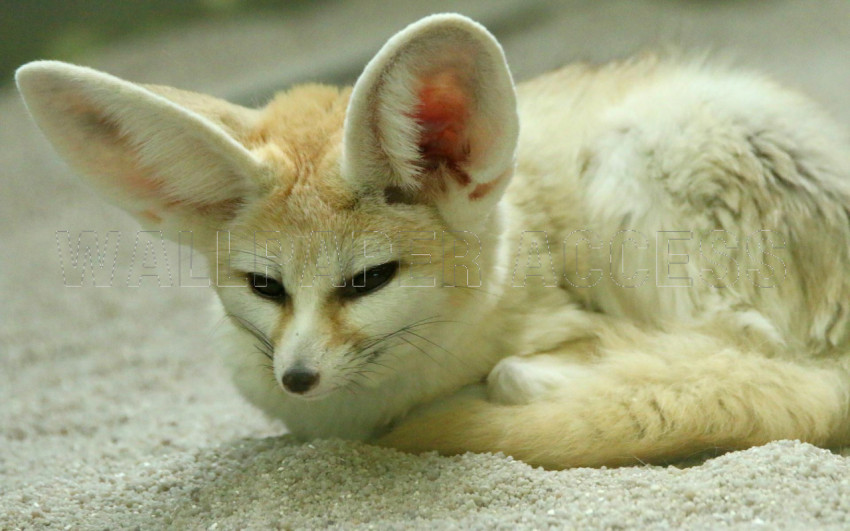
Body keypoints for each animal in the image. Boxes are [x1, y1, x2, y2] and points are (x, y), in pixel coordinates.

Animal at [15, 13, 850, 469]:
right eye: (264, 286)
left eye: (367, 280)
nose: (297, 378)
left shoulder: (566, 319)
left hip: (634, 159)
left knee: (749, 354)